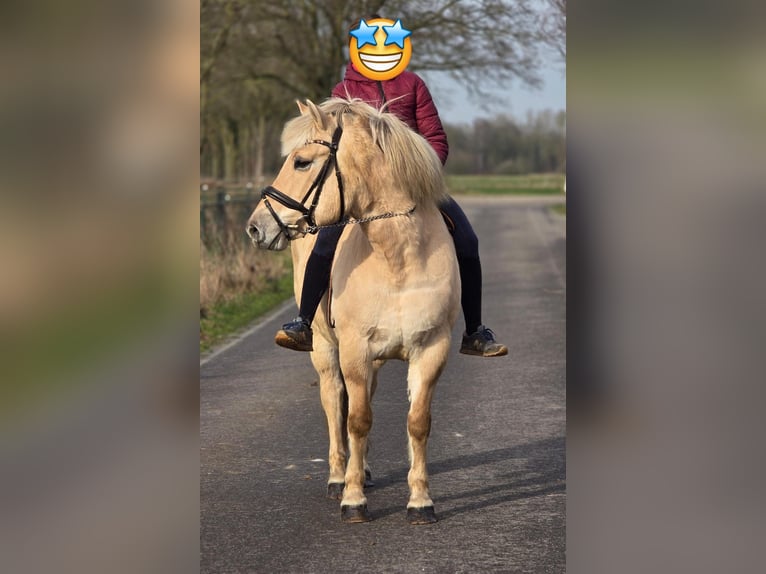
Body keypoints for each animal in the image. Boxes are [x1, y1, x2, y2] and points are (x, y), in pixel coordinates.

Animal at [246, 98, 460, 524]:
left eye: (301, 162)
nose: (256, 227)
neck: (397, 257)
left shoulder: (431, 350)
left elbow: (417, 423)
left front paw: (420, 502)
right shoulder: (354, 351)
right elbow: (356, 421)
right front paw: (353, 499)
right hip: (326, 351)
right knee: (333, 403)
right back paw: (338, 477)